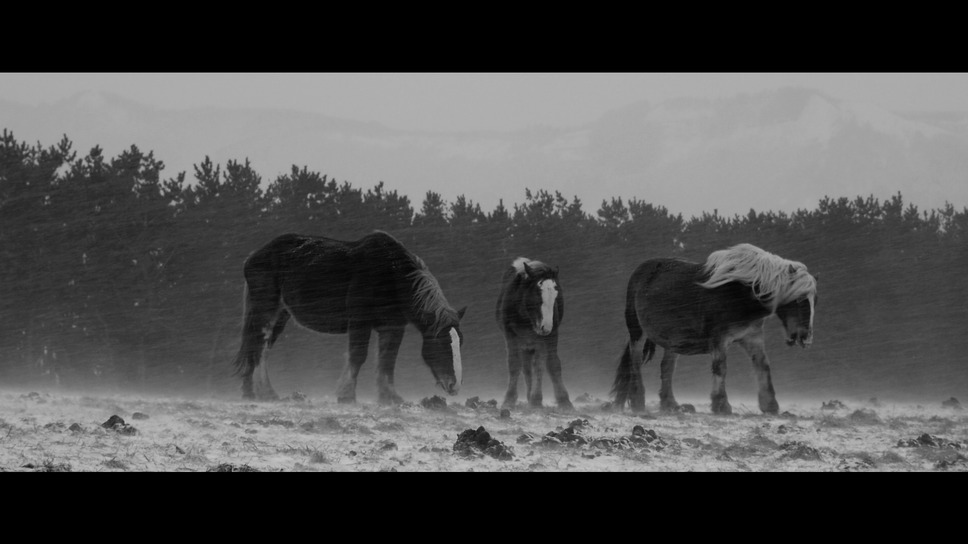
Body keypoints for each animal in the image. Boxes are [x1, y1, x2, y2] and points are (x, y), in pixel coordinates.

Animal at [231, 231, 466, 404]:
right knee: (259, 347)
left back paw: (249, 393)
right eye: (441, 343)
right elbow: (358, 355)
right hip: (266, 310)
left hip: (281, 315)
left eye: (460, 342)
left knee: (257, 348)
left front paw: (389, 397)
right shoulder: (359, 322)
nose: (454, 386)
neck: (392, 275)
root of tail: (252, 257)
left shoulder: (393, 327)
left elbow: (388, 360)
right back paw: (267, 393)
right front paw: (346, 395)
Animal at [496, 257, 573, 411]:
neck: (525, 317)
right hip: (525, 344)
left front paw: (542, 401)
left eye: (556, 295)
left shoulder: (547, 337)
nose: (546, 327)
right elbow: (514, 365)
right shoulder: (510, 336)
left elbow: (547, 365)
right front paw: (509, 400)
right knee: (526, 368)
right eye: (537, 294)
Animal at [611, 243, 817, 415]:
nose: (805, 337)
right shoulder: (719, 339)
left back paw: (671, 405)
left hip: (673, 341)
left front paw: (770, 405)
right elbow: (720, 368)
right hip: (637, 332)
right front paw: (721, 405)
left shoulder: (752, 337)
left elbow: (763, 366)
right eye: (799, 300)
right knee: (635, 363)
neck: (741, 293)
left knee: (667, 368)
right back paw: (638, 402)